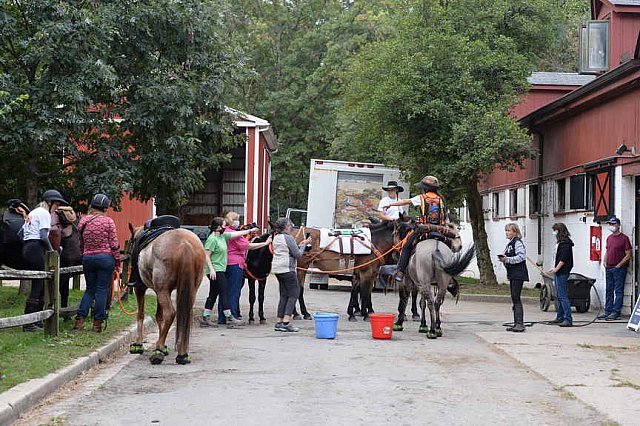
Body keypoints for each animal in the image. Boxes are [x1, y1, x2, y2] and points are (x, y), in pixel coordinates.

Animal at [126, 226, 204, 366]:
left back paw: (158, 350)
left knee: (170, 313)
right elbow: (159, 316)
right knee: (184, 315)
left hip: (162, 290)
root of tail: (185, 243)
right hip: (189, 290)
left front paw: (138, 344)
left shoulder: (140, 288)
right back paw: (182, 354)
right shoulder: (159, 292)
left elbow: (140, 315)